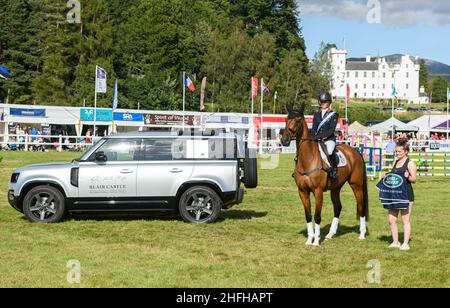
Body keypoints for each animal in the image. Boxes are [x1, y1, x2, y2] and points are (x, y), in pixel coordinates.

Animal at [282, 103, 370, 245]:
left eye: (298, 120)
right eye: (286, 119)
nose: (284, 140)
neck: (308, 159)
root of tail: (355, 151)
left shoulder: (318, 191)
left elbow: (317, 216)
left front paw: (316, 241)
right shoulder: (302, 192)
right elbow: (308, 216)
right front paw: (309, 240)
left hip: (356, 185)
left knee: (361, 206)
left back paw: (362, 234)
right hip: (336, 188)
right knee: (338, 207)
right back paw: (330, 234)